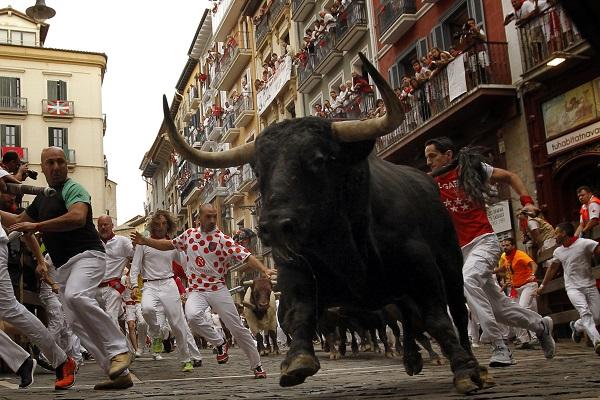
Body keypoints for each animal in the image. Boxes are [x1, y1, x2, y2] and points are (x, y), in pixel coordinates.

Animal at [163, 53, 488, 394]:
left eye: (318, 159)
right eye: (258, 168)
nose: (274, 226)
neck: (342, 242)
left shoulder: (422, 269)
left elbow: (438, 318)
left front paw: (465, 369)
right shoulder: (297, 274)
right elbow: (301, 315)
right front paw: (298, 360)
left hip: (450, 265)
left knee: (456, 313)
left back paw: (467, 361)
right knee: (408, 318)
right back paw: (411, 359)